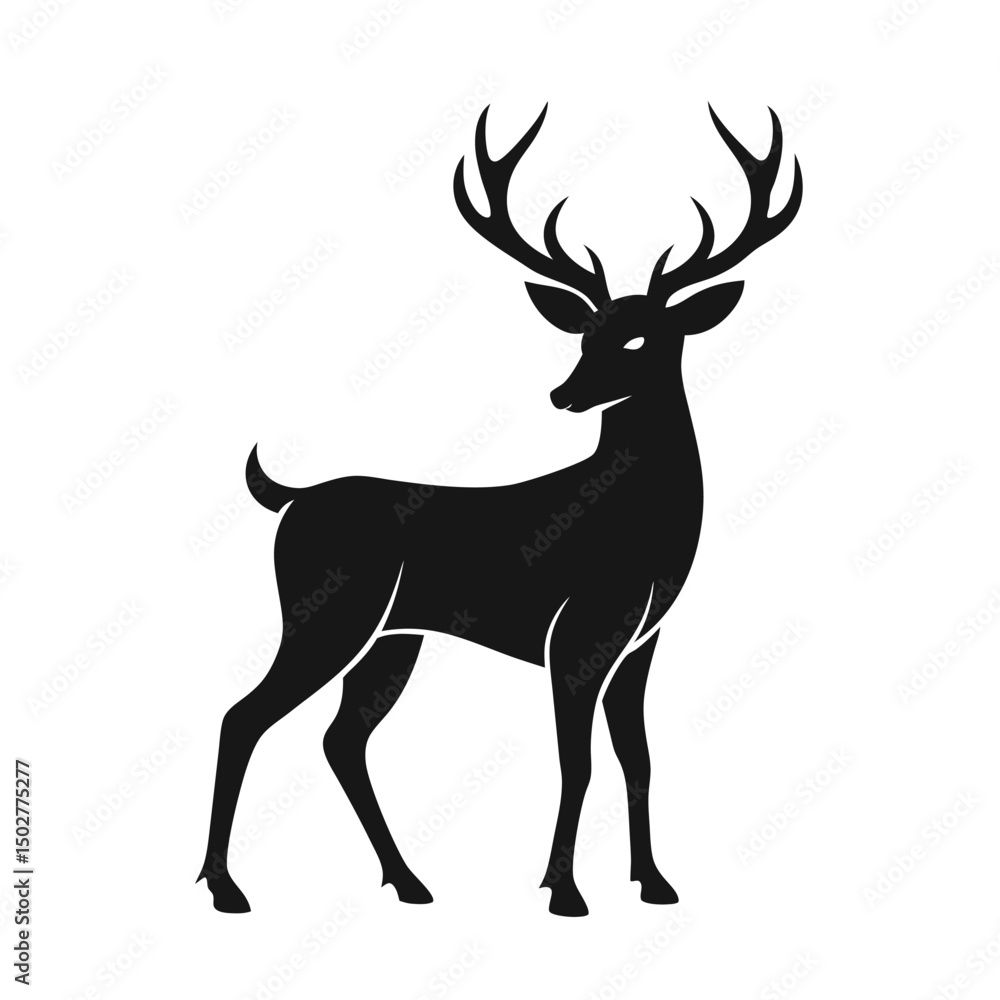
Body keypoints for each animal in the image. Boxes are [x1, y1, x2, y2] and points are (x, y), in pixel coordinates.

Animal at [197, 103, 802, 918]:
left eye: (640, 336)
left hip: (393, 637)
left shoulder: (643, 640)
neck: (643, 526)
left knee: (341, 739)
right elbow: (577, 761)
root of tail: (291, 500)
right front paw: (564, 891)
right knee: (244, 716)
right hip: (328, 612)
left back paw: (410, 881)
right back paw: (227, 888)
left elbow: (638, 757)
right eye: (585, 333)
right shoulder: (576, 632)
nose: (564, 394)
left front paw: (655, 883)